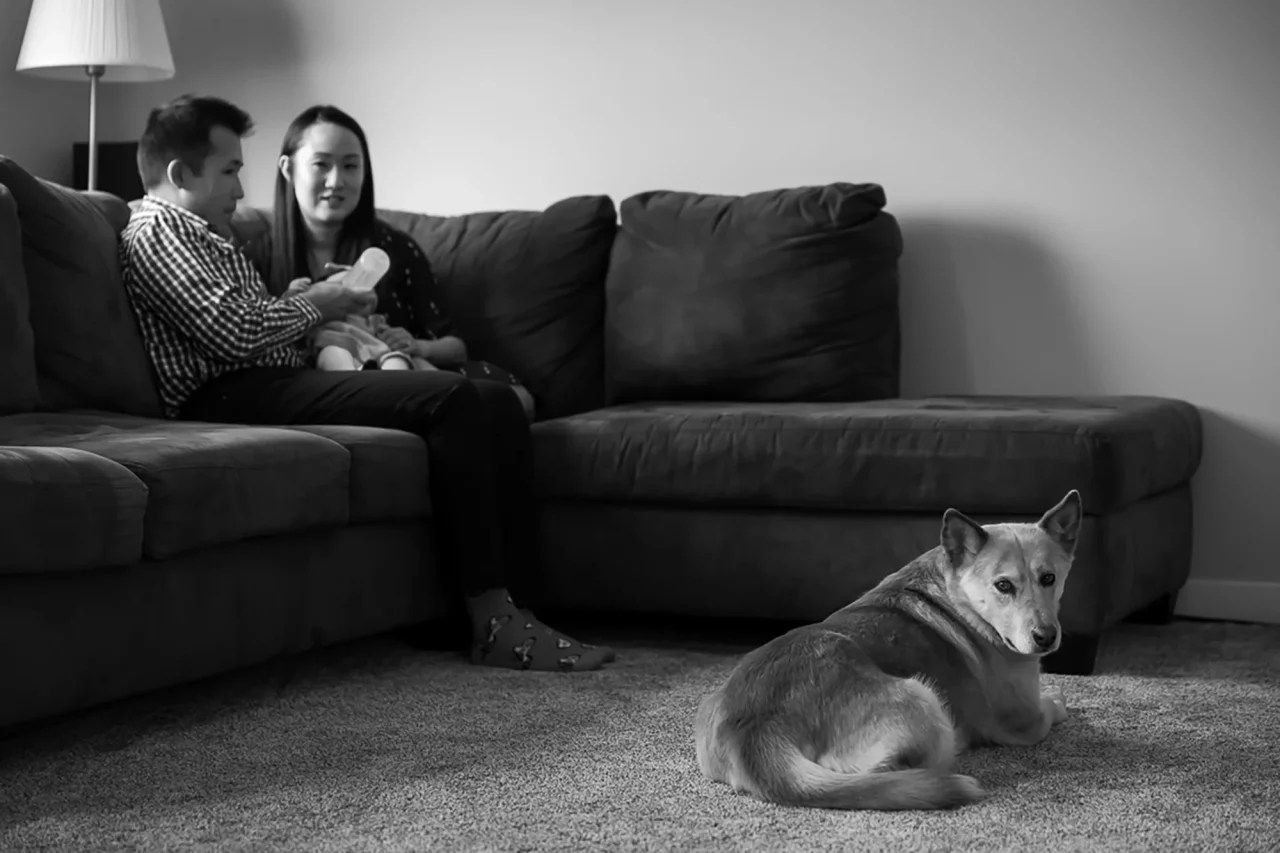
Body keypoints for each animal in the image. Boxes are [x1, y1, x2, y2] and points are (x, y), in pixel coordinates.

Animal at [696, 489, 1085, 809]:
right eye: (1003, 586)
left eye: (1049, 578)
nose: (1046, 637)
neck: (958, 597)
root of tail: (753, 730)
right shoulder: (1024, 723)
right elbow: (1051, 709)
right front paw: (1058, 698)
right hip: (924, 700)